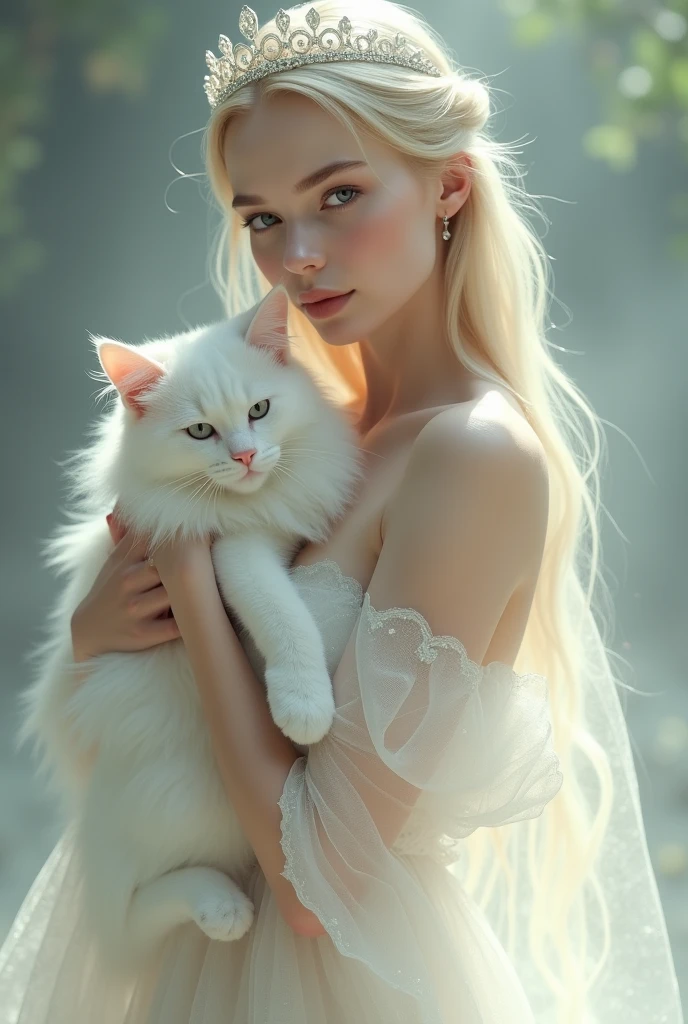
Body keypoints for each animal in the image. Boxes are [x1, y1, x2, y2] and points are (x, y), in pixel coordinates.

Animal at [20, 284, 364, 970]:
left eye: (259, 410)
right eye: (200, 430)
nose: (246, 455)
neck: (251, 507)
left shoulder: (255, 537)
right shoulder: (228, 551)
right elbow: (283, 615)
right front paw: (304, 706)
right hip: (189, 800)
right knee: (129, 920)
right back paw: (221, 907)